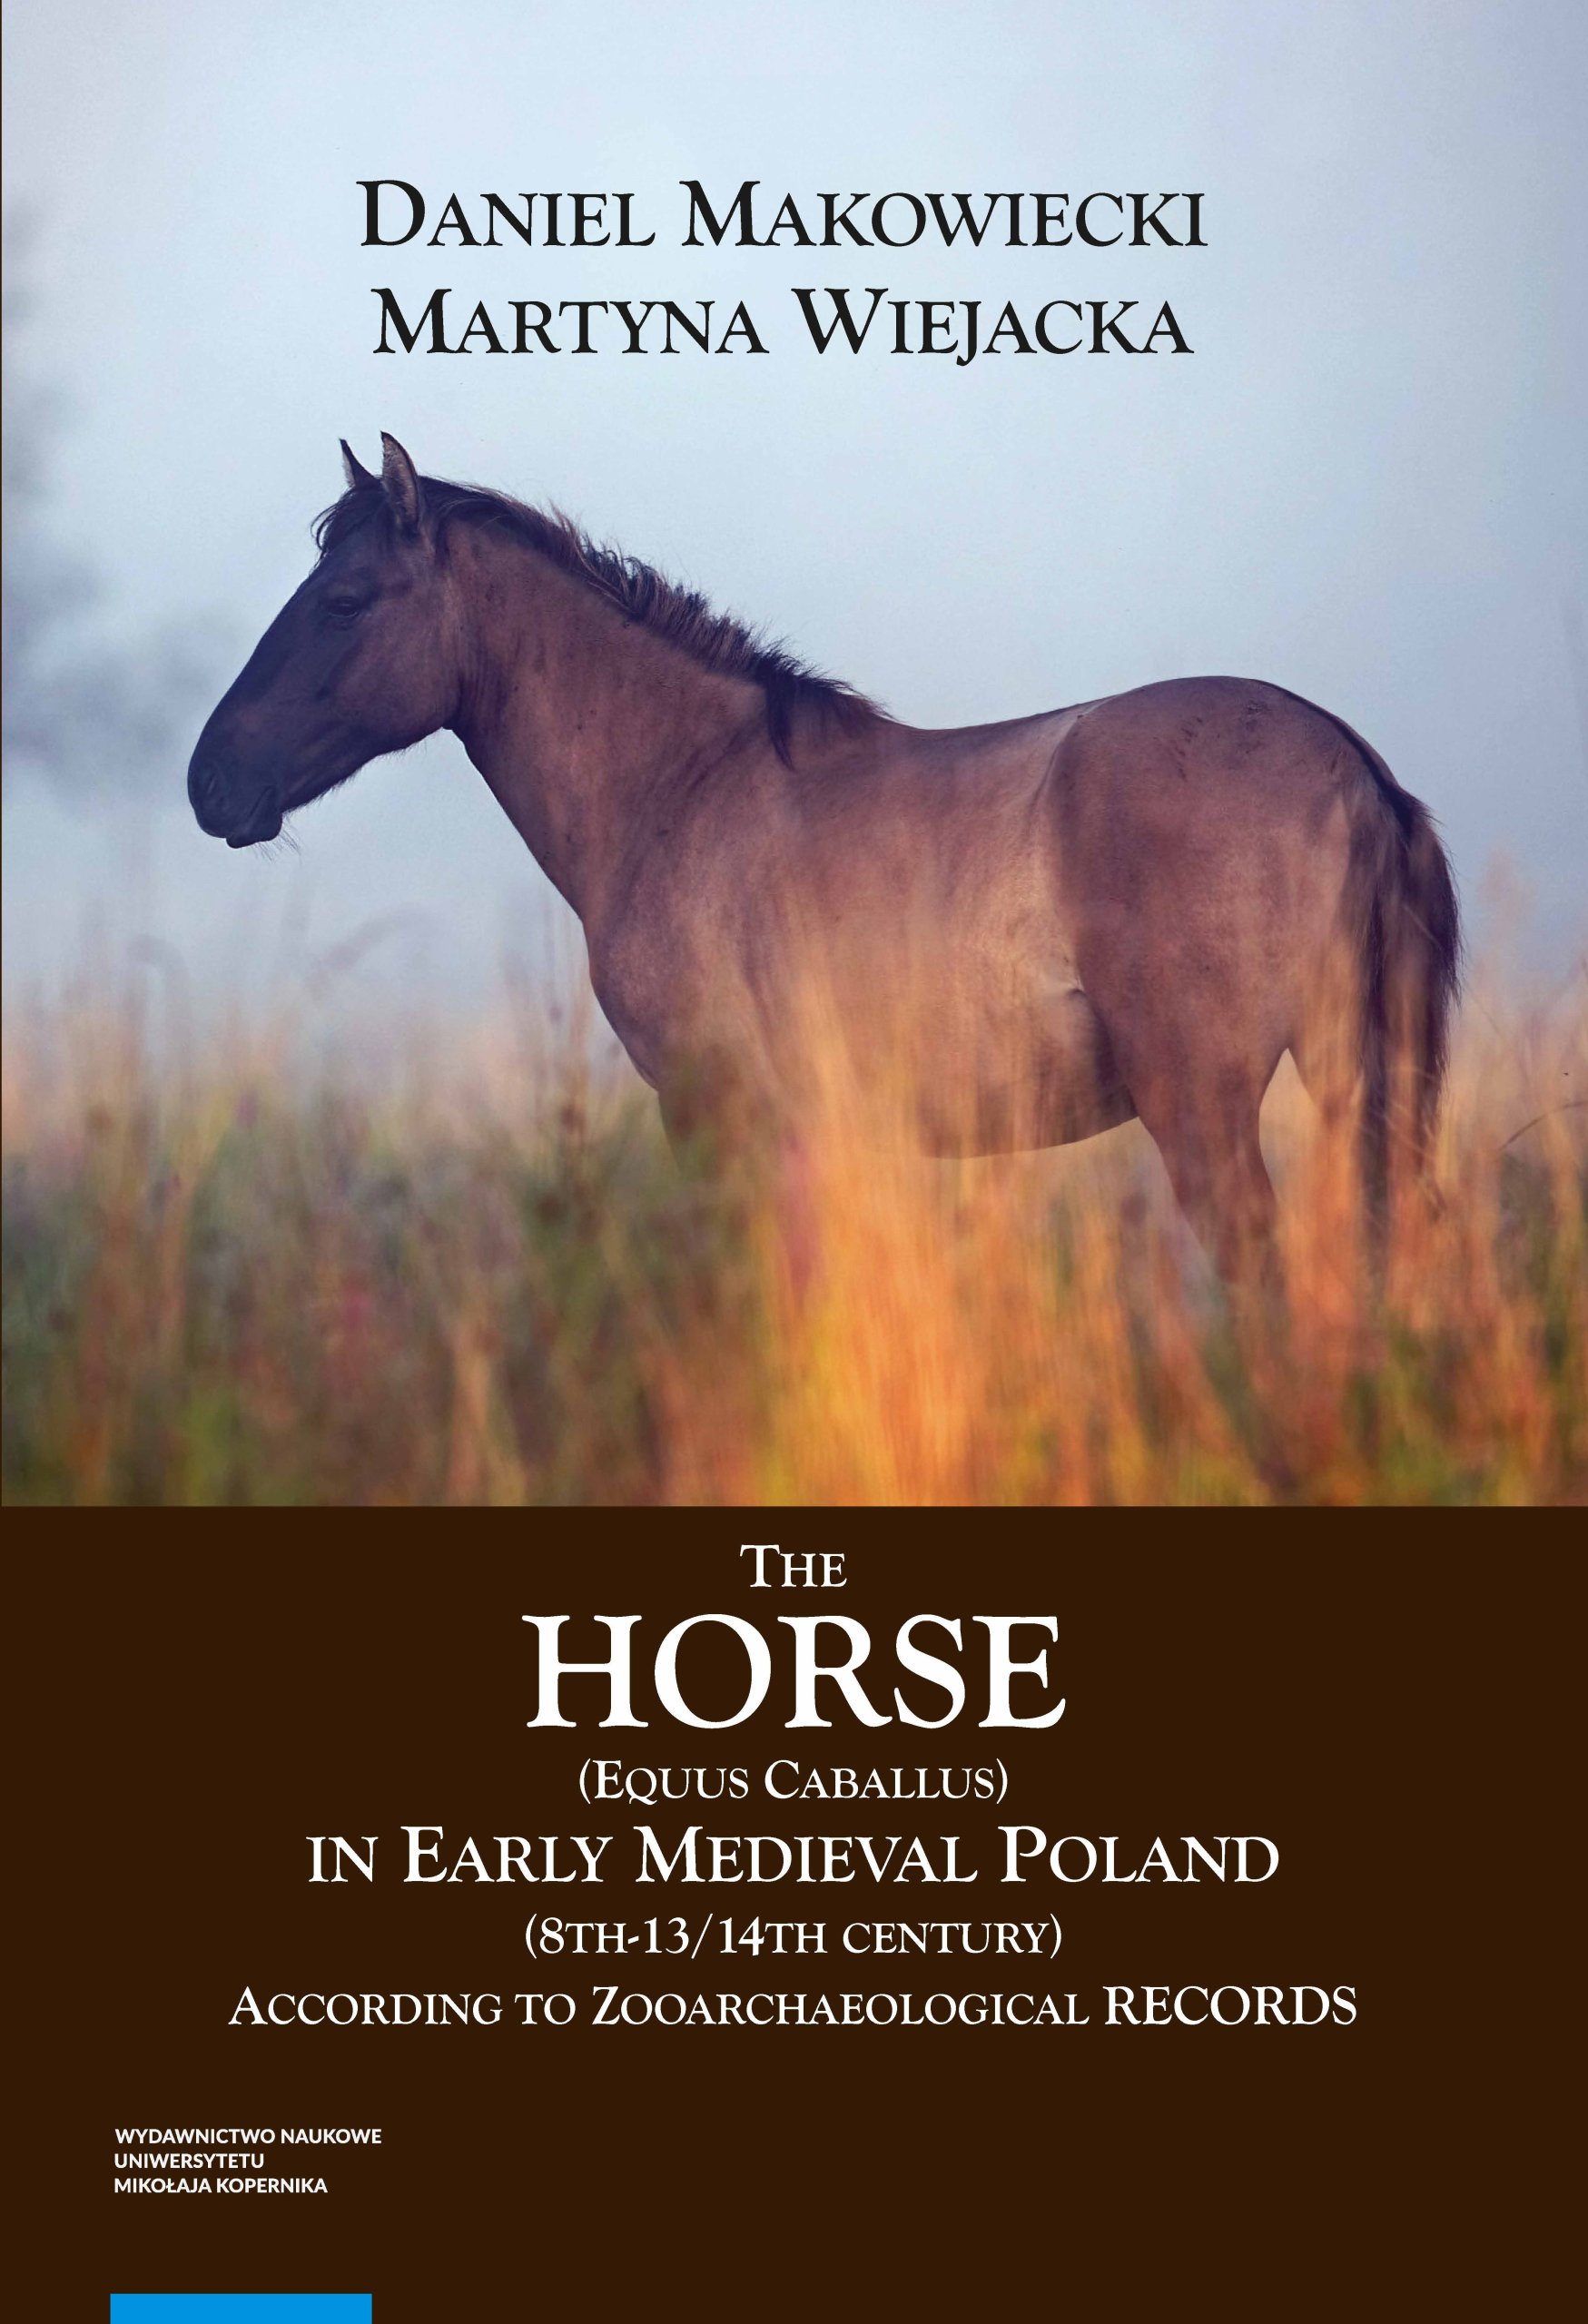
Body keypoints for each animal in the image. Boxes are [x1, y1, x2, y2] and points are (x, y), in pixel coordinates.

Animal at [188, 434, 1460, 1279]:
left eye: (346, 599)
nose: (212, 782)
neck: (686, 783)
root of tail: (1351, 763)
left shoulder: (718, 1117)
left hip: (1203, 1107)